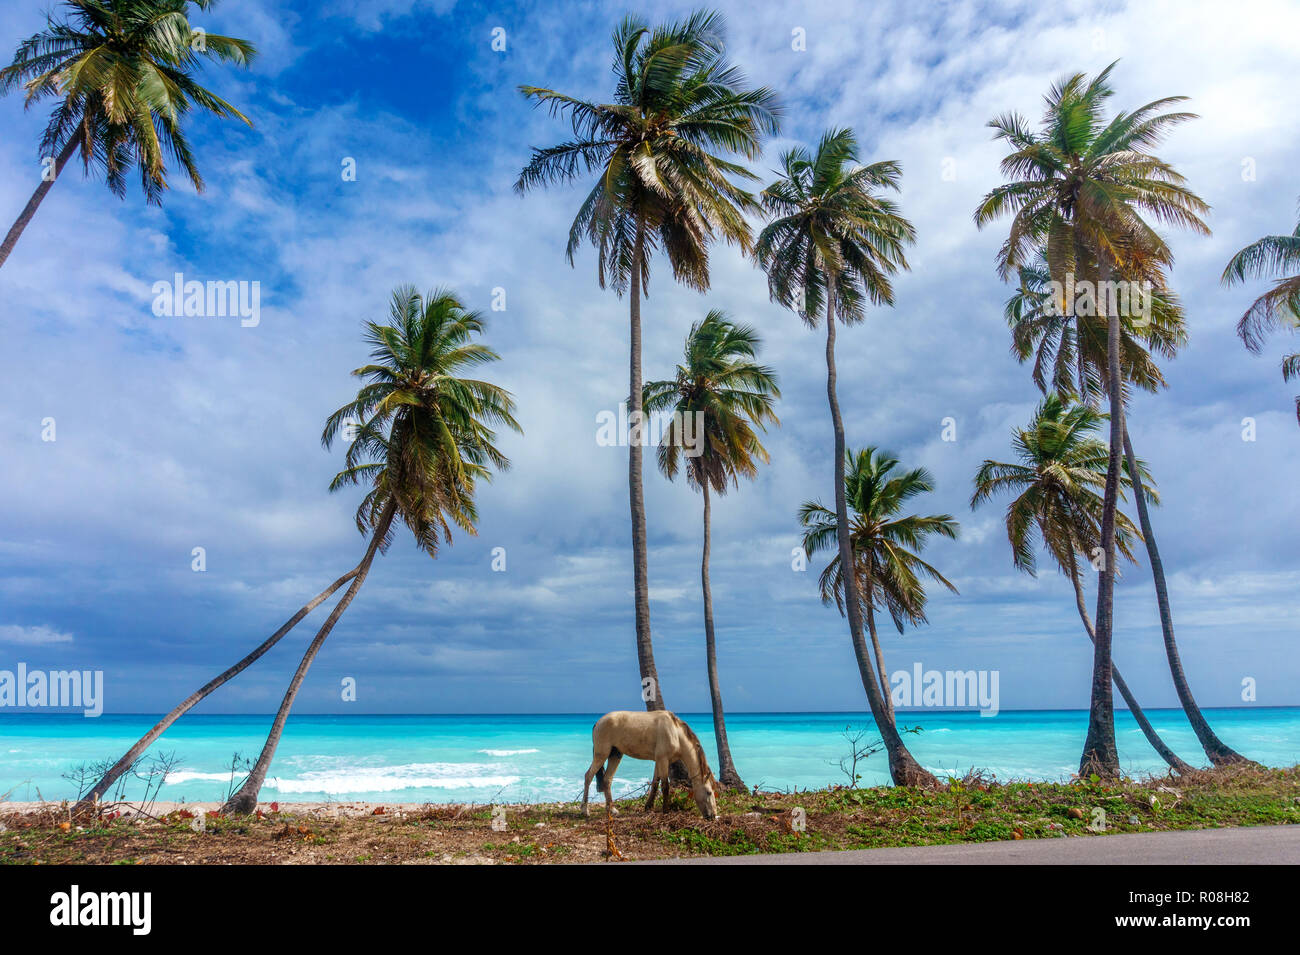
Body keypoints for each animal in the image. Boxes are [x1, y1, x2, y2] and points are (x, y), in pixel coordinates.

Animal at [582, 712, 722, 821]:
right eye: (709, 792)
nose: (713, 816)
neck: (675, 733)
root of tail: (598, 722)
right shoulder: (663, 760)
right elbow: (665, 786)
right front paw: (666, 810)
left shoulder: (658, 761)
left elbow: (655, 783)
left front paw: (648, 806)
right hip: (601, 754)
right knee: (588, 776)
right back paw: (585, 810)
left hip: (615, 755)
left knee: (607, 779)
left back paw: (612, 810)